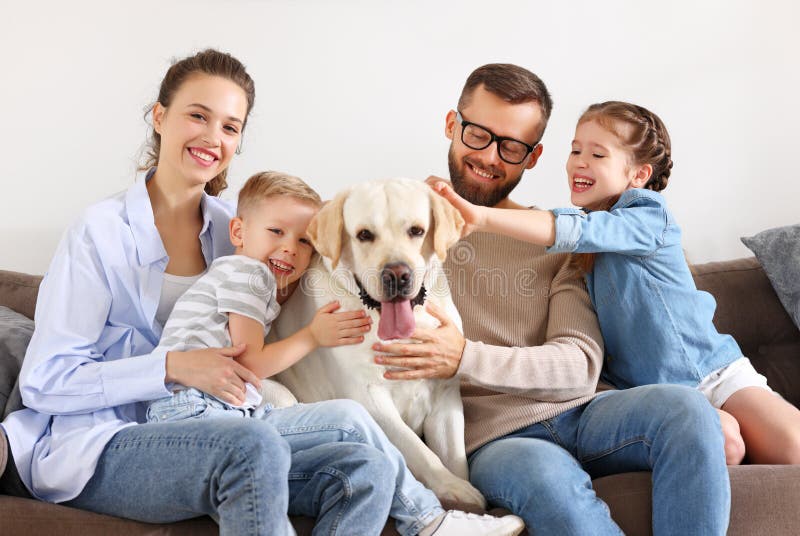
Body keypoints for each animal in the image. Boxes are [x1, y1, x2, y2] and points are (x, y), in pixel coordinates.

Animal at [268, 179, 484, 506]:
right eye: (364, 235)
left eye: (417, 230)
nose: (397, 274)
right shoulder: (369, 397)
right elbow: (419, 451)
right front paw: (451, 487)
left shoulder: (446, 397)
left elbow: (457, 459)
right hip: (283, 398)